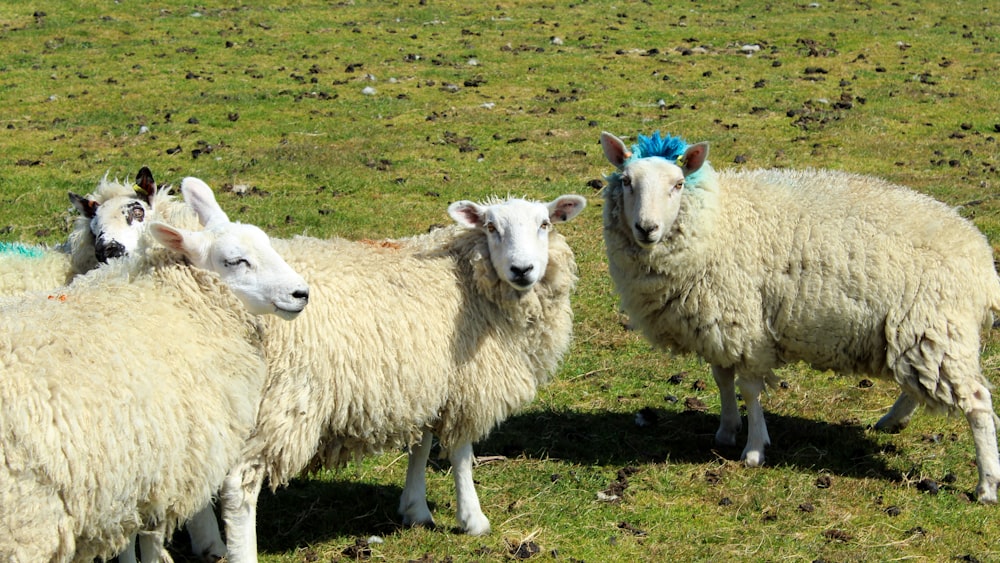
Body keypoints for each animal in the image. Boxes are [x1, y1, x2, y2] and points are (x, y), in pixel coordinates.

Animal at [0, 177, 310, 563]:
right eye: (235, 261)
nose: (301, 293)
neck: (174, 300)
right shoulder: (163, 462)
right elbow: (149, 533)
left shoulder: (134, 469)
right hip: (26, 518)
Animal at [220, 195, 588, 563]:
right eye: (491, 227)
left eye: (544, 224)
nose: (521, 270)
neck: (464, 274)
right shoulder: (464, 386)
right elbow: (461, 455)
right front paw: (473, 518)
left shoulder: (424, 383)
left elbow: (421, 447)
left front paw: (415, 509)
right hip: (280, 402)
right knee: (239, 487)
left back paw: (211, 543)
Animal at [600, 131, 1000, 502]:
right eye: (627, 181)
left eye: (678, 184)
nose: (647, 228)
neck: (719, 220)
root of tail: (981, 260)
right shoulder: (719, 322)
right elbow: (722, 379)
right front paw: (726, 431)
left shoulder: (745, 324)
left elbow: (749, 388)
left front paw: (754, 449)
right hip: (917, 332)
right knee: (918, 385)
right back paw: (891, 421)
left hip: (936, 326)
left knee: (978, 401)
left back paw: (986, 485)